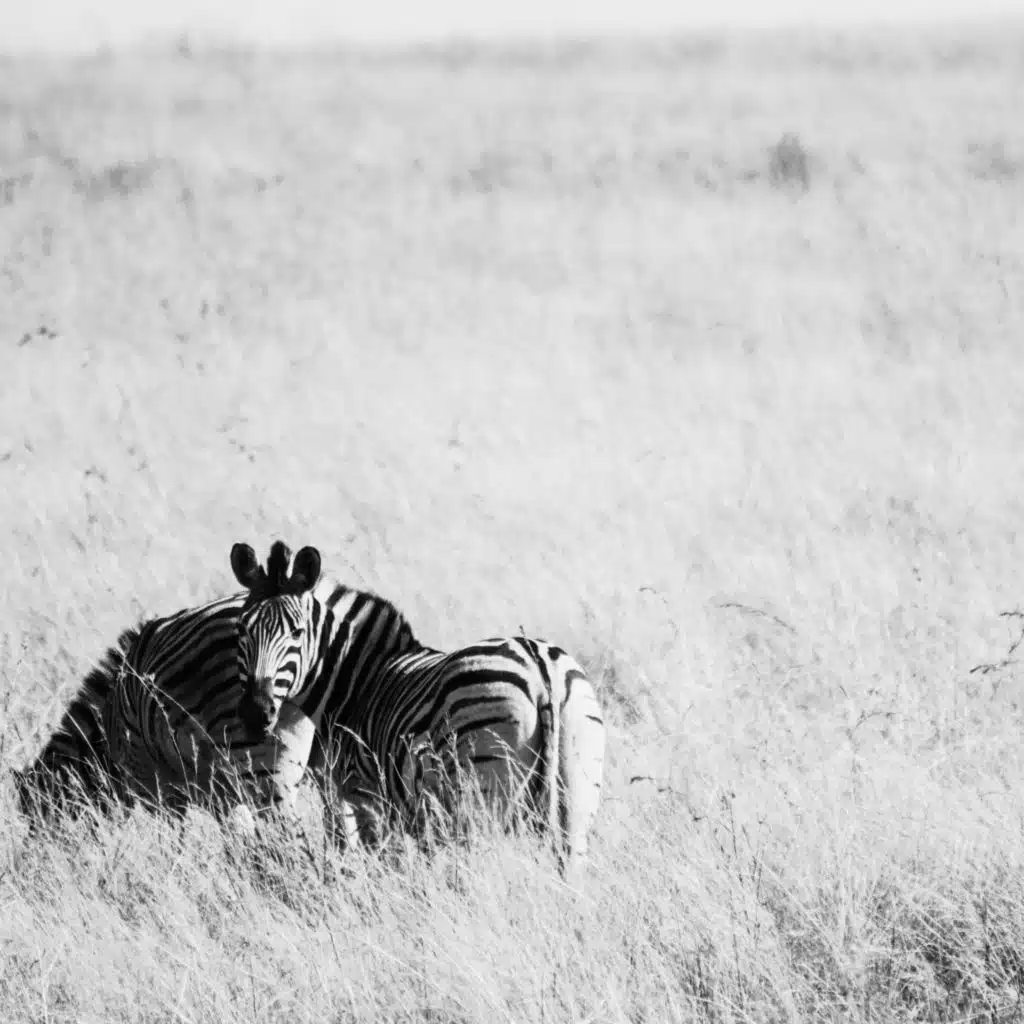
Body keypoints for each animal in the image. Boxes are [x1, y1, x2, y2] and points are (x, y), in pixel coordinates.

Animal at [229, 540, 606, 879]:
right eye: (242, 630)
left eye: (297, 632)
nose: (256, 712)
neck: (356, 680)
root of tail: (539, 667)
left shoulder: (366, 795)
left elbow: (377, 861)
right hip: (576, 794)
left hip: (483, 795)